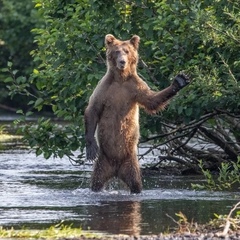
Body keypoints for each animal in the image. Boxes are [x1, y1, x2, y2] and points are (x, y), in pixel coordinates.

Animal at [84, 34, 189, 194]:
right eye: (117, 51)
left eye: (127, 51)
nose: (122, 62)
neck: (121, 79)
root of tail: (116, 170)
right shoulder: (104, 88)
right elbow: (93, 110)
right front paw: (91, 148)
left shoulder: (135, 87)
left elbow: (151, 100)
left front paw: (179, 81)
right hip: (103, 161)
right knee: (96, 182)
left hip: (130, 162)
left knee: (136, 183)